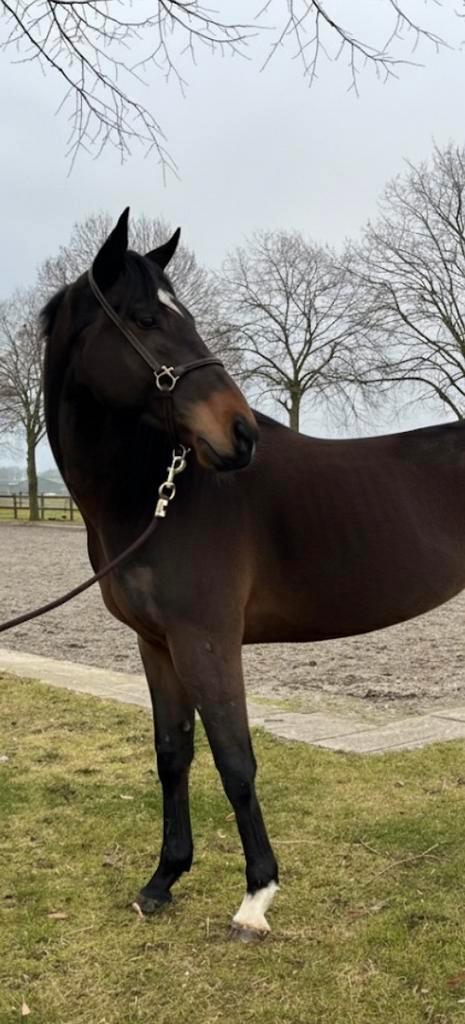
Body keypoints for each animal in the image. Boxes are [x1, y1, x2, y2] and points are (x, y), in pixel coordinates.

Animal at [42, 208, 465, 941]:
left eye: (181, 315)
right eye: (144, 318)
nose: (239, 434)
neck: (156, 492)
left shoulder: (207, 639)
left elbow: (234, 759)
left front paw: (255, 898)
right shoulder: (157, 645)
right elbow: (172, 754)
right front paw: (162, 881)